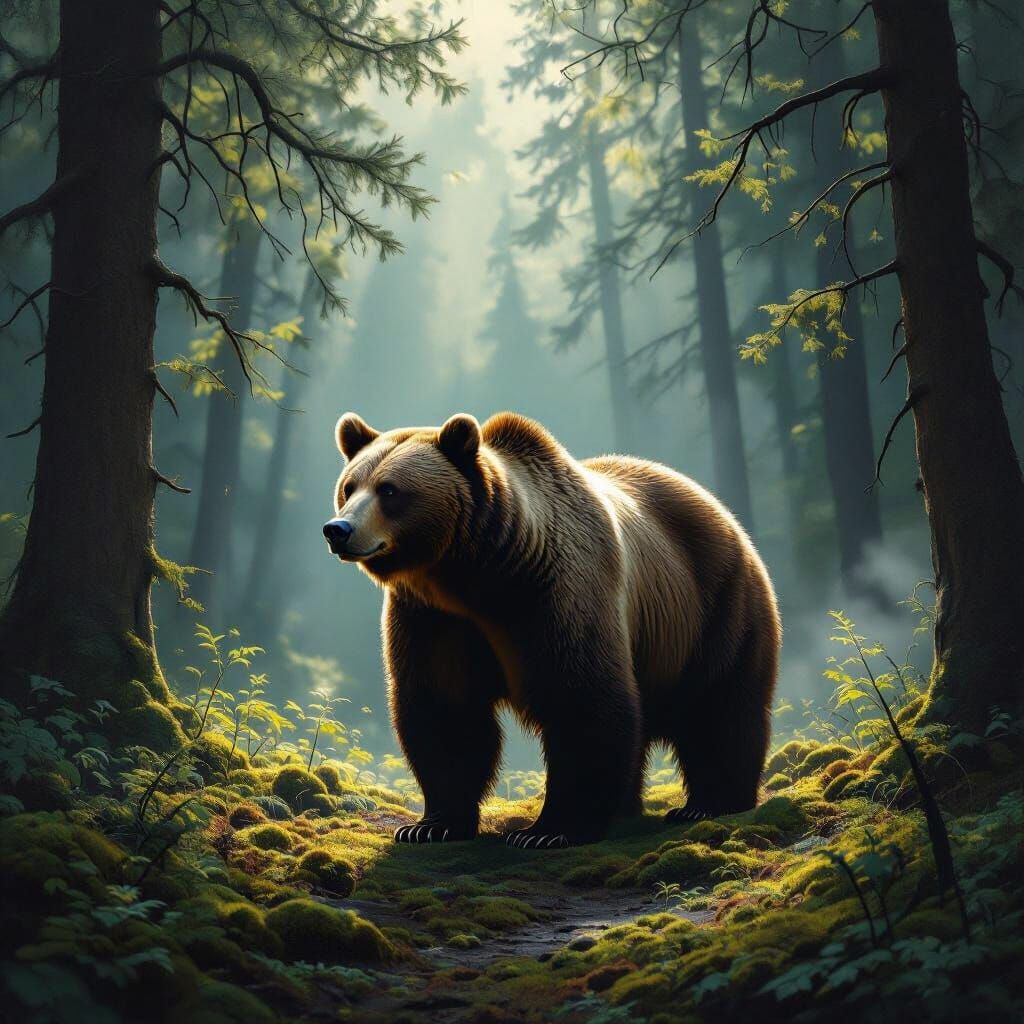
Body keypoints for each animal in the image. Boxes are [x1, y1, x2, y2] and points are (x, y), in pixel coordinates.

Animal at [323, 411, 781, 848]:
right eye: (349, 486)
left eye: (389, 490)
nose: (338, 529)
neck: (477, 575)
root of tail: (717, 506)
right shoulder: (434, 617)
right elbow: (444, 707)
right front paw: (432, 825)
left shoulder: (555, 593)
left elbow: (580, 699)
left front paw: (546, 830)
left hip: (715, 605)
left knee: (718, 705)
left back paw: (710, 803)